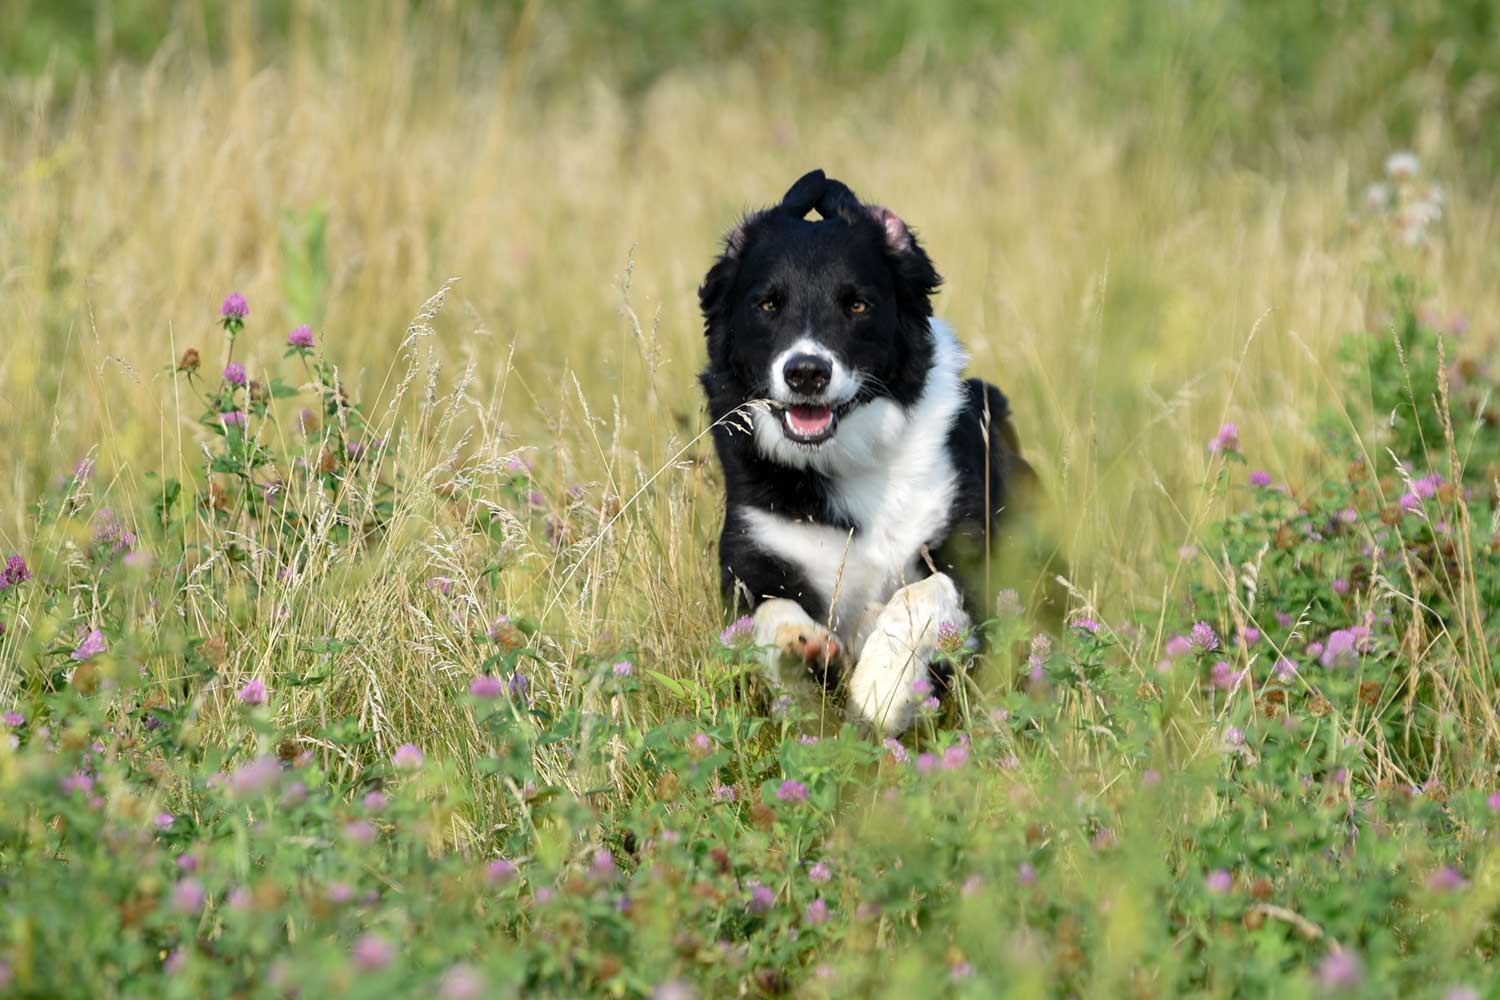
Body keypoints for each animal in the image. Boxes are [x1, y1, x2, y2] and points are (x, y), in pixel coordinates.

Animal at [696, 170, 1038, 734]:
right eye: (768, 304)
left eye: (857, 305)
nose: (806, 373)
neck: (852, 456)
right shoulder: (752, 558)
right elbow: (766, 615)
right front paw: (801, 649)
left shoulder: (980, 559)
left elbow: (919, 595)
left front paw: (882, 687)